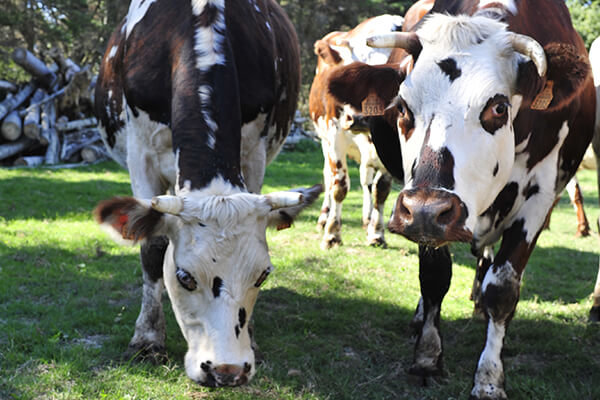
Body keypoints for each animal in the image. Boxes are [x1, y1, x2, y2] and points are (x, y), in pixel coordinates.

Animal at [91, 0, 322, 388]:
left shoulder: (255, 152)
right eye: (184, 277)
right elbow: (152, 248)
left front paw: (252, 339)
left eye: (263, 274)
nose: (228, 371)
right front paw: (147, 339)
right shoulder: (140, 152)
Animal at [310, 15, 404, 248]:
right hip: (324, 140)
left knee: (366, 181)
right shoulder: (335, 137)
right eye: (348, 74)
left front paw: (377, 233)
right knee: (329, 177)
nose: (360, 117)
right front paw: (332, 234)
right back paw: (324, 218)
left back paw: (367, 219)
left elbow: (380, 190)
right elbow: (340, 186)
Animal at [328, 0, 596, 396]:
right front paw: (427, 356)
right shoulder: (427, 212)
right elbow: (434, 278)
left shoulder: (540, 192)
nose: (426, 209)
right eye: (402, 108)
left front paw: (489, 377)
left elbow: (502, 288)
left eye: (498, 107)